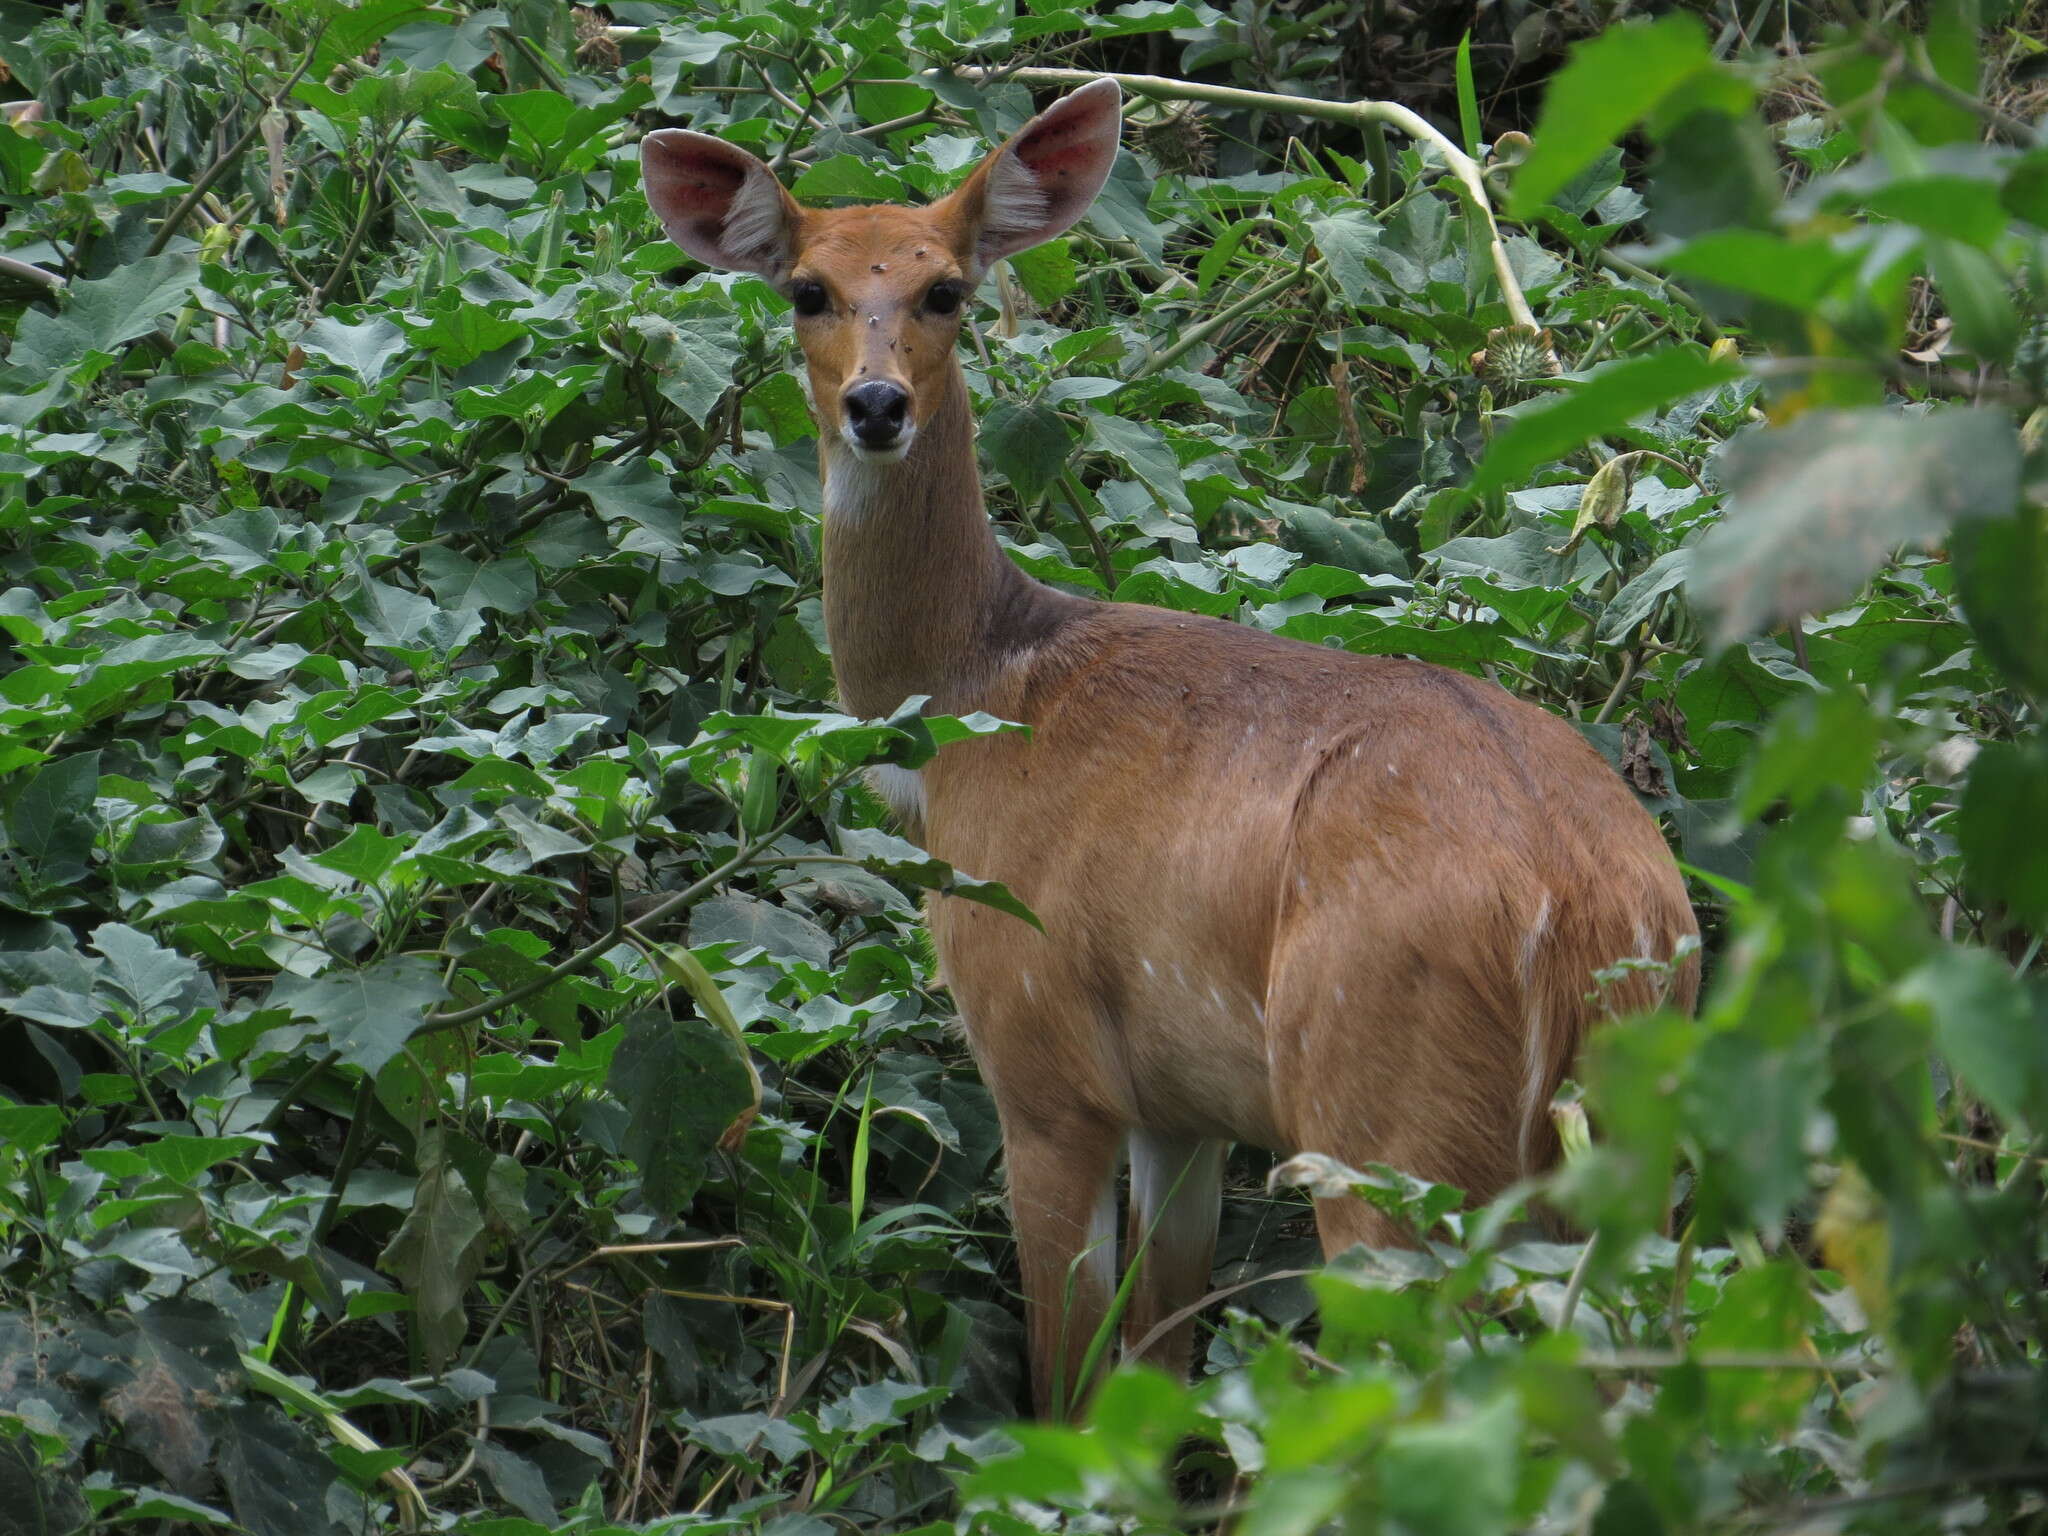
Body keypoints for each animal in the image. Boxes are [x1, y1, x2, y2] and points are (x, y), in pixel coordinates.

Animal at [647, 81, 1703, 1417]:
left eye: (945, 289)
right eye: (806, 289)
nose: (875, 406)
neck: (976, 706)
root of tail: (1580, 915)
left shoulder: (1040, 1052)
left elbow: (1069, 1377)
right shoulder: (1181, 1106)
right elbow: (1155, 1358)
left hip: (1386, 1117)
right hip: (1622, 1141)